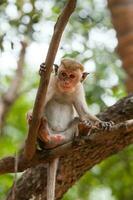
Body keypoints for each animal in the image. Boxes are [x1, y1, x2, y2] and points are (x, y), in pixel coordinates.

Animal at [26, 57, 113, 200]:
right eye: (63, 74)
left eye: (72, 76)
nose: (66, 81)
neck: (64, 91)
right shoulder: (52, 82)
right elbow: (41, 103)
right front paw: (42, 69)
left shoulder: (79, 89)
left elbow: (84, 113)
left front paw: (103, 124)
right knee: (41, 118)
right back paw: (43, 132)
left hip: (67, 136)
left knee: (78, 119)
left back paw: (82, 131)